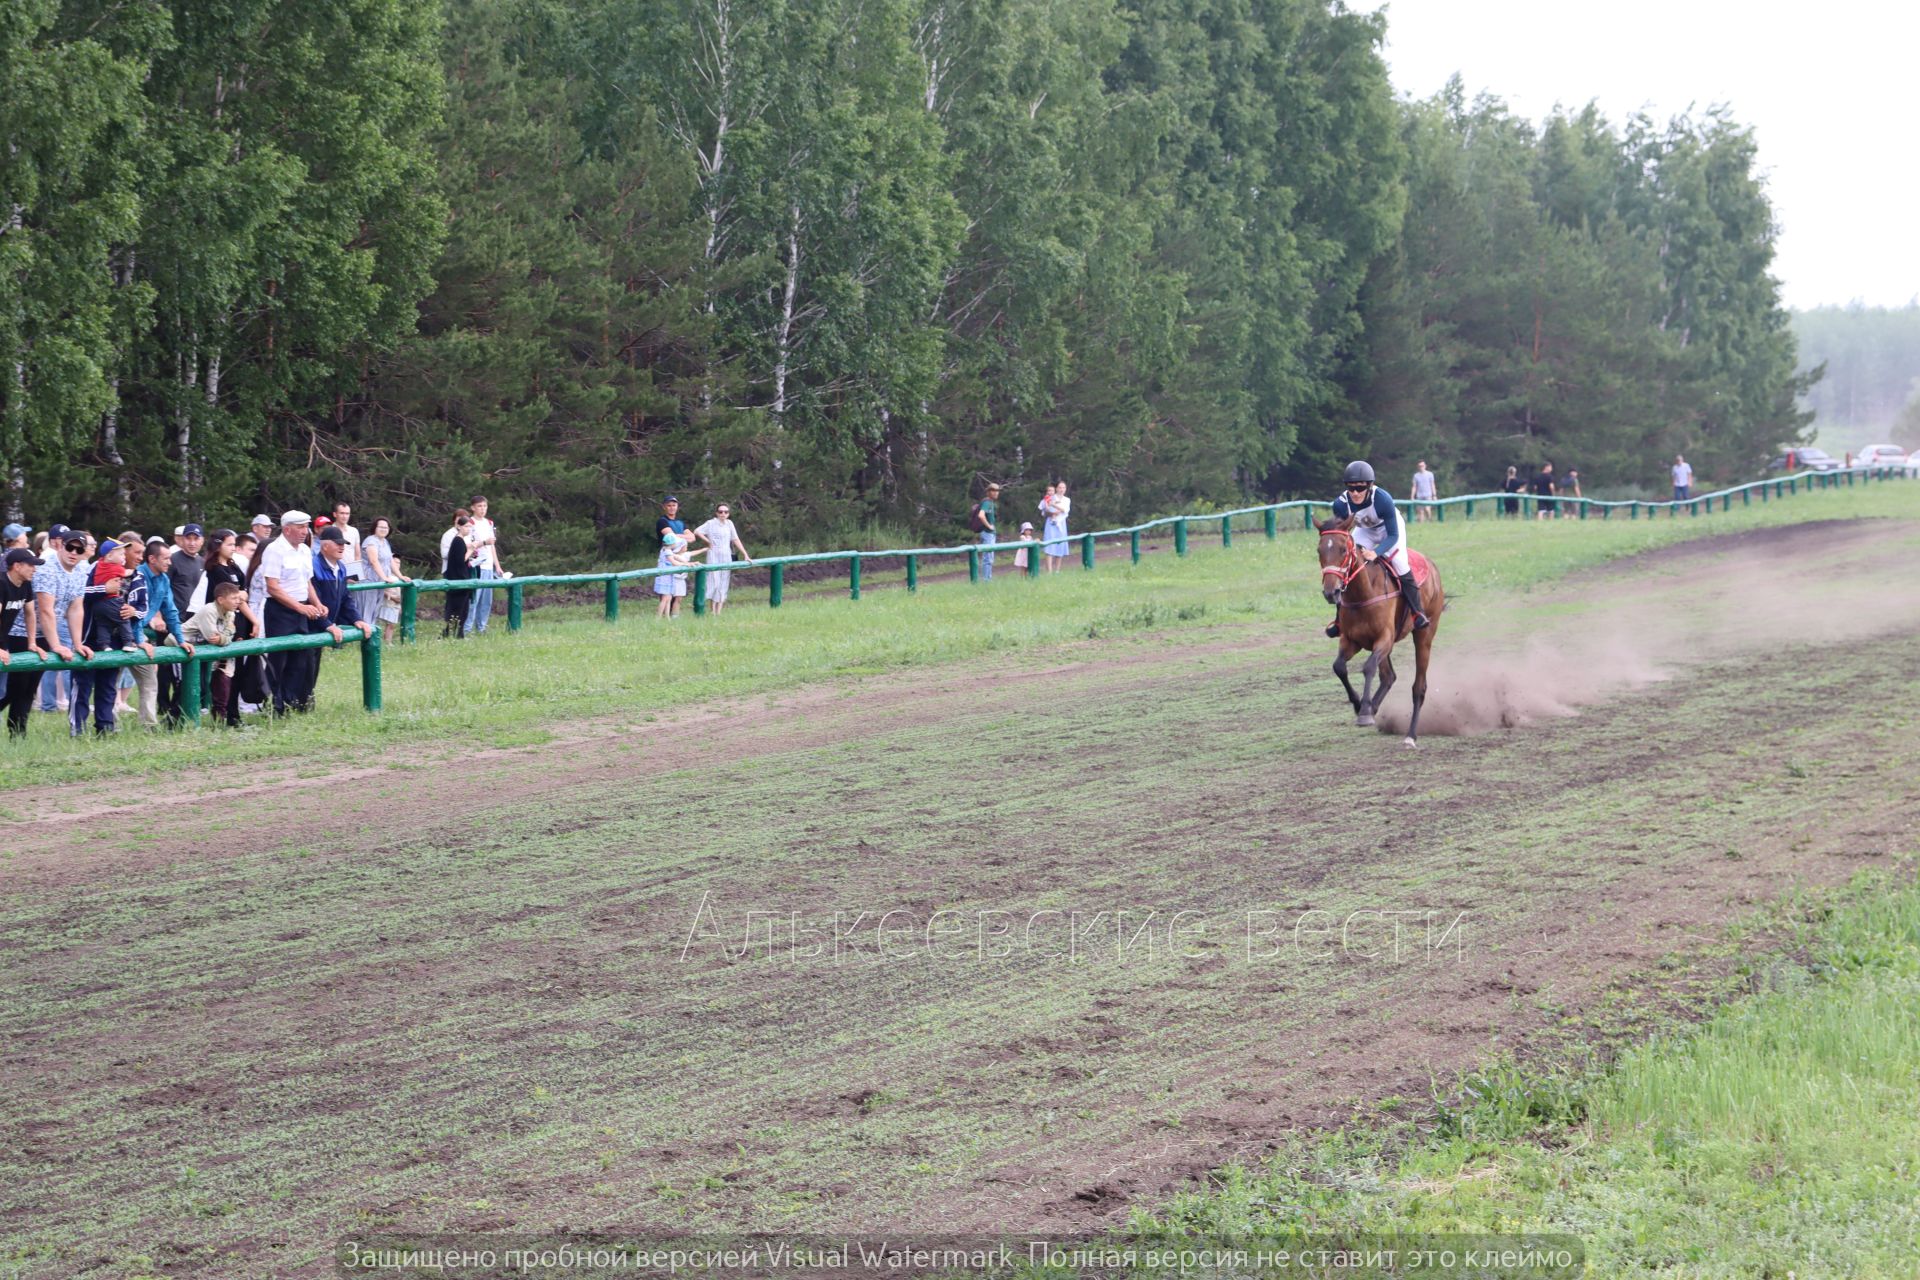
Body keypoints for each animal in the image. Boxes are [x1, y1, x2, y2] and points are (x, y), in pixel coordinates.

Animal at [1320, 514, 1443, 744]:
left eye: (1343, 550)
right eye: (1319, 550)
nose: (1331, 592)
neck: (1363, 593)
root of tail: (1432, 566)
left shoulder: (1384, 638)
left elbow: (1368, 667)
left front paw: (1364, 712)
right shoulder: (1351, 640)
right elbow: (1339, 667)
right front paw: (1360, 704)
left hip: (1424, 634)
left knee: (1418, 687)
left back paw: (1410, 735)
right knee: (1389, 676)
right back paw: (1374, 707)